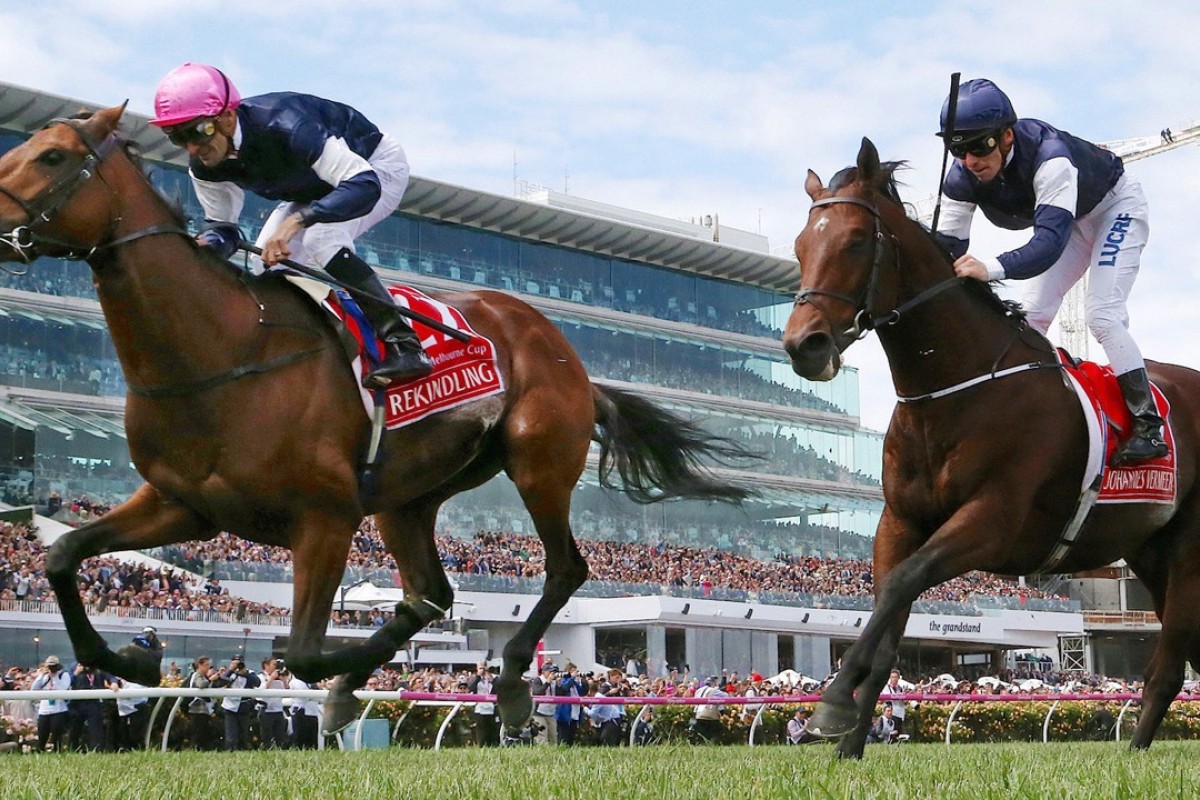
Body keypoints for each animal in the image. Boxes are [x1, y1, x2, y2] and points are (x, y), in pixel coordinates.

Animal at [0, 107, 748, 738]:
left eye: (53, 156)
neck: (224, 351)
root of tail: (565, 350)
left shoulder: (325, 518)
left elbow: (302, 652)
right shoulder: (183, 505)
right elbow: (64, 555)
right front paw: (133, 659)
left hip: (538, 461)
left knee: (563, 569)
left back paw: (508, 684)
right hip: (407, 496)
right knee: (432, 593)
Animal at [782, 137, 1200, 758]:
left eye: (855, 240)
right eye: (801, 245)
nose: (803, 345)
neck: (955, 389)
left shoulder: (993, 520)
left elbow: (904, 583)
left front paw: (831, 704)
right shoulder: (899, 520)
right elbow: (885, 613)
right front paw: (849, 744)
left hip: (1189, 549)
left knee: (1170, 662)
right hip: (1149, 549)